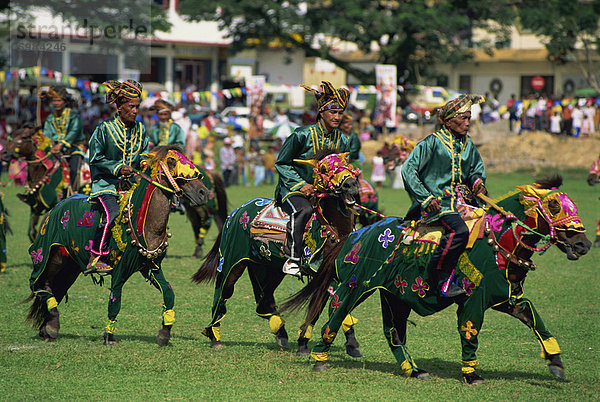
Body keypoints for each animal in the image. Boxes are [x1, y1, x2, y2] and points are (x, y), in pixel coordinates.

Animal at [24, 146, 209, 348]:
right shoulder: (120, 269)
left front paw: (165, 331)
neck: (144, 222)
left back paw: (48, 327)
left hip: (70, 267)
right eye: (172, 162)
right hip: (50, 258)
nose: (203, 193)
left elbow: (169, 294)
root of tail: (56, 208)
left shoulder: (152, 266)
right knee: (39, 284)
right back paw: (52, 323)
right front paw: (109, 336)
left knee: (54, 288)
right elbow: (115, 300)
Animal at [190, 149, 364, 354]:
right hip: (232, 264)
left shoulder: (332, 274)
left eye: (347, 163)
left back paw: (280, 332)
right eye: (323, 168)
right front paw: (304, 343)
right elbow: (321, 307)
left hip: (265, 267)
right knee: (223, 293)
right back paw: (214, 337)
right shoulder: (321, 272)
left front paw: (349, 342)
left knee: (263, 301)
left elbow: (335, 305)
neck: (333, 226)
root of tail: (236, 212)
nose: (351, 184)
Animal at [282, 176, 592, 384]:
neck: (497, 243)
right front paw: (472, 374)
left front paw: (555, 361)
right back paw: (318, 358)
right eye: (554, 205)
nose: (583, 245)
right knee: (334, 315)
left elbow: (535, 318)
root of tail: (355, 235)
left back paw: (413, 370)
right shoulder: (474, 301)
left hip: (394, 295)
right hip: (355, 286)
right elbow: (470, 332)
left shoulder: (506, 298)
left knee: (393, 333)